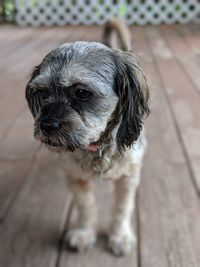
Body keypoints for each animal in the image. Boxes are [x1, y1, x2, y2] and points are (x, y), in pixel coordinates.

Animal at [25, 17, 149, 256]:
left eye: (82, 93)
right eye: (42, 93)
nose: (46, 125)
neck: (97, 147)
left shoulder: (128, 178)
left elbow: (122, 208)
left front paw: (120, 236)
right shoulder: (76, 178)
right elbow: (85, 206)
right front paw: (84, 233)